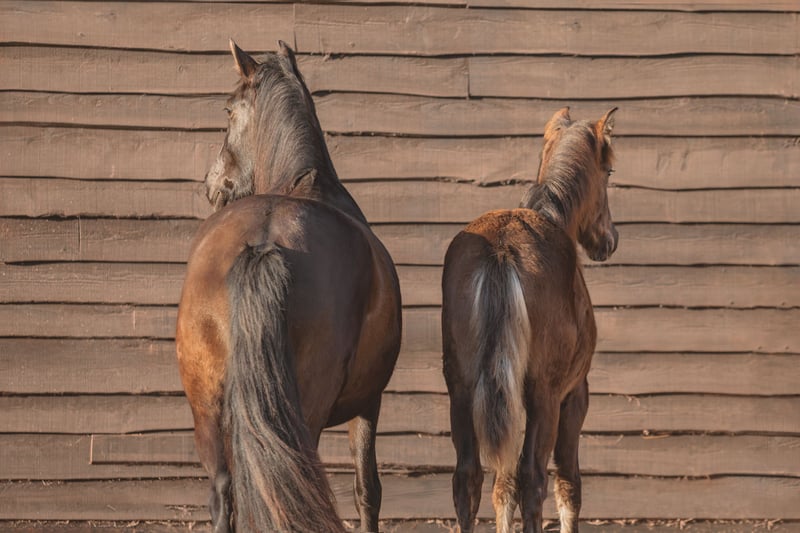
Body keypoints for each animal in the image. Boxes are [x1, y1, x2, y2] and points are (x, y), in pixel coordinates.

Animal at [176, 40, 402, 532]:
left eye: (227, 110)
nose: (211, 185)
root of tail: (265, 239)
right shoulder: (369, 403)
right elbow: (367, 490)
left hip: (207, 409)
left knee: (224, 492)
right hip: (305, 412)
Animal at [441, 107, 619, 533]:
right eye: (608, 171)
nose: (610, 240)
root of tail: (502, 250)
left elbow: (502, 485)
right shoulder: (574, 393)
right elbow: (567, 482)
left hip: (463, 387)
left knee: (468, 477)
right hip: (545, 394)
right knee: (533, 477)